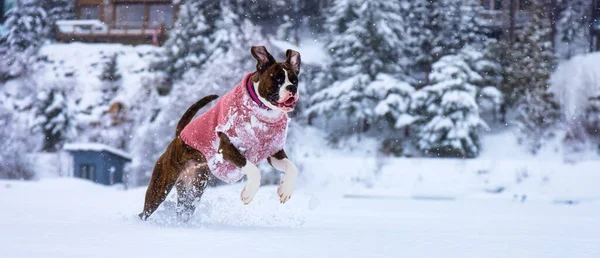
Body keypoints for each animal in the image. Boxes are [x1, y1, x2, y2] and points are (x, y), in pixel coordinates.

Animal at [139, 45, 302, 220]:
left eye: (295, 80)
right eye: (277, 79)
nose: (292, 88)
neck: (262, 113)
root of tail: (178, 136)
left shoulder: (274, 152)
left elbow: (292, 168)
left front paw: (285, 190)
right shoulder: (227, 148)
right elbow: (253, 169)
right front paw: (248, 193)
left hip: (192, 191)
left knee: (184, 211)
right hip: (160, 188)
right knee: (145, 212)